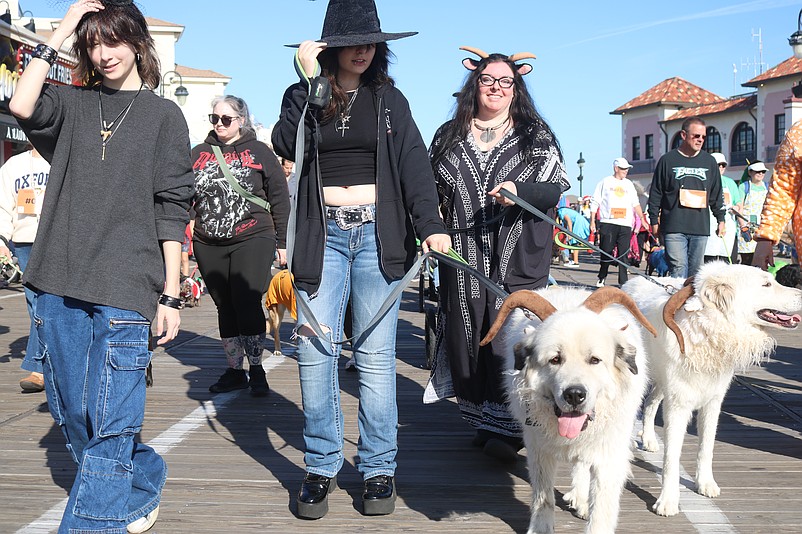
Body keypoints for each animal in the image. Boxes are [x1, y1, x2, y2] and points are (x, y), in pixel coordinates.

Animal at [482, 288, 656, 534]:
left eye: (595, 360)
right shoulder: (538, 448)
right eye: (555, 359)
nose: (574, 395)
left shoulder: (610, 454)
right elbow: (543, 497)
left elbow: (601, 509)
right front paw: (541, 528)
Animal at [624, 264, 800, 520]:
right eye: (766, 284)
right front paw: (668, 501)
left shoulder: (712, 403)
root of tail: (630, 282)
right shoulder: (678, 406)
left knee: (650, 404)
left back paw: (648, 439)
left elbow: (706, 448)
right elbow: (671, 458)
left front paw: (705, 484)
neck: (708, 332)